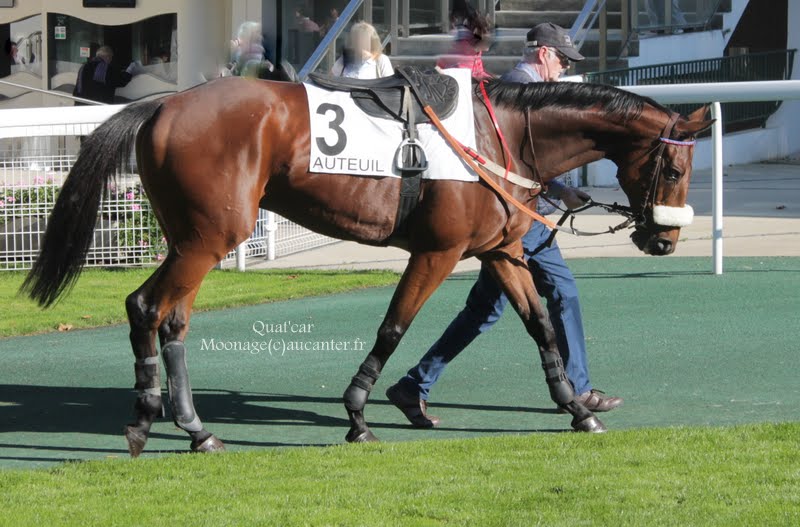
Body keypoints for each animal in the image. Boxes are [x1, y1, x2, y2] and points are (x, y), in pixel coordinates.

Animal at [21, 75, 712, 458]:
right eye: (677, 167)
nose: (664, 242)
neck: (501, 135)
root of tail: (164, 106)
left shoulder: (501, 251)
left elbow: (540, 325)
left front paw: (577, 408)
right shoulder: (436, 251)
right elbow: (393, 326)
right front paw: (357, 415)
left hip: (190, 237)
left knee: (164, 317)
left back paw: (184, 425)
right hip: (209, 238)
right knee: (152, 309)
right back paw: (164, 422)